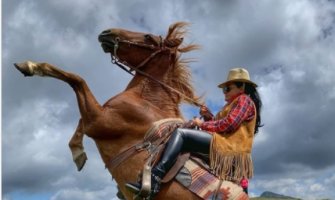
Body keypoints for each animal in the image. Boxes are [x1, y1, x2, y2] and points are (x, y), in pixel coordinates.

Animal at [14, 22, 247, 200]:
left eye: (148, 37)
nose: (107, 33)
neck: (147, 101)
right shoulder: (98, 118)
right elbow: (78, 113)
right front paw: (78, 152)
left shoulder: (99, 121)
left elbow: (76, 80)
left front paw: (30, 66)